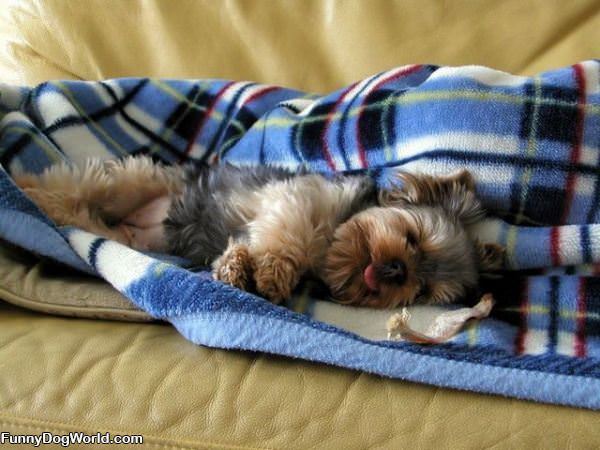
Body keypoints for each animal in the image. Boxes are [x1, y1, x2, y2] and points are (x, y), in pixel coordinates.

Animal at [12, 156, 502, 308]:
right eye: (412, 236)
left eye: (421, 291)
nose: (397, 272)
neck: (332, 245)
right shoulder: (295, 201)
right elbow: (287, 239)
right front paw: (268, 274)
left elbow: (247, 250)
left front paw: (236, 269)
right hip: (131, 184)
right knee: (75, 186)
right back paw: (26, 189)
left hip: (124, 233)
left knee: (83, 211)